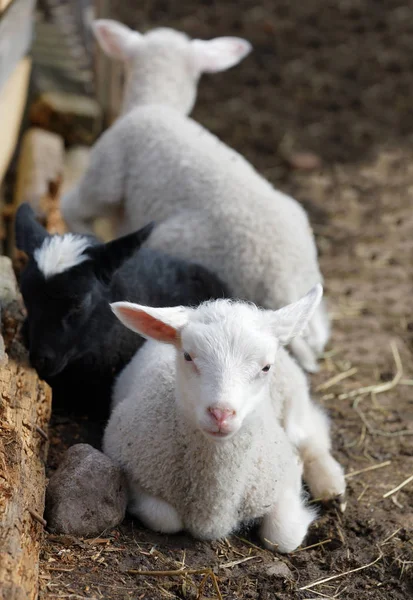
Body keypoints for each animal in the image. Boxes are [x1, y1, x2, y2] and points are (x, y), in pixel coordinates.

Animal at [103, 284, 344, 552]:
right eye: (188, 356)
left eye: (266, 367)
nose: (221, 414)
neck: (216, 501)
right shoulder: (131, 470)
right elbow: (166, 519)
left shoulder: (280, 480)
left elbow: (283, 536)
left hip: (294, 399)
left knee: (311, 435)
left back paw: (330, 484)